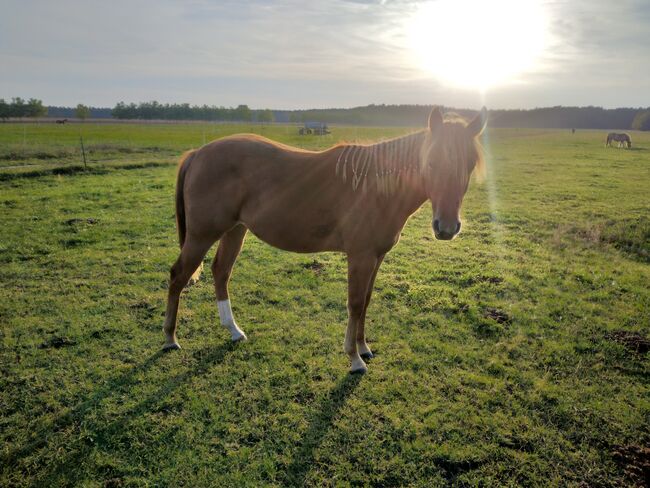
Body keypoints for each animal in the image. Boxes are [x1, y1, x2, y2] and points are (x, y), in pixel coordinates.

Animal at [162, 107, 486, 374]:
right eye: (431, 162)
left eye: (470, 164)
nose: (446, 227)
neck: (375, 186)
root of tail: (198, 153)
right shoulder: (360, 256)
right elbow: (355, 303)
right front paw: (354, 358)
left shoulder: (377, 256)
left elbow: (366, 301)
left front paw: (364, 348)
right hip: (202, 234)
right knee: (179, 275)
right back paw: (169, 338)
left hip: (234, 231)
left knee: (221, 272)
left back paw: (233, 330)